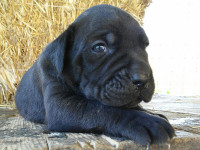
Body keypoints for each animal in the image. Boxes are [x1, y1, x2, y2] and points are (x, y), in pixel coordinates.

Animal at [15, 4, 175, 145]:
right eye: (99, 47)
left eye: (145, 46)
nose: (142, 78)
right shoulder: (60, 104)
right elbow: (100, 109)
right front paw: (145, 121)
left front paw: (150, 113)